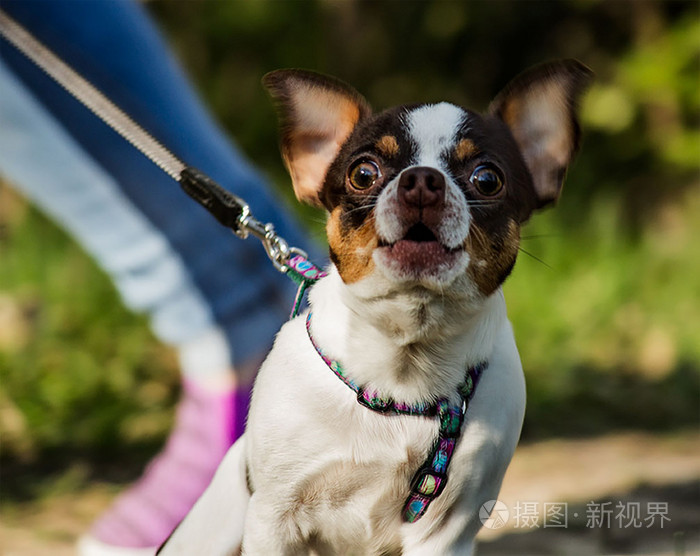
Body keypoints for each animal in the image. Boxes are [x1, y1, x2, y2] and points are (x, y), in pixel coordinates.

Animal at [159, 60, 592, 556]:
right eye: (363, 174)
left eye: (488, 179)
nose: (422, 180)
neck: (402, 363)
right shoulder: (274, 519)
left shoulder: (447, 534)